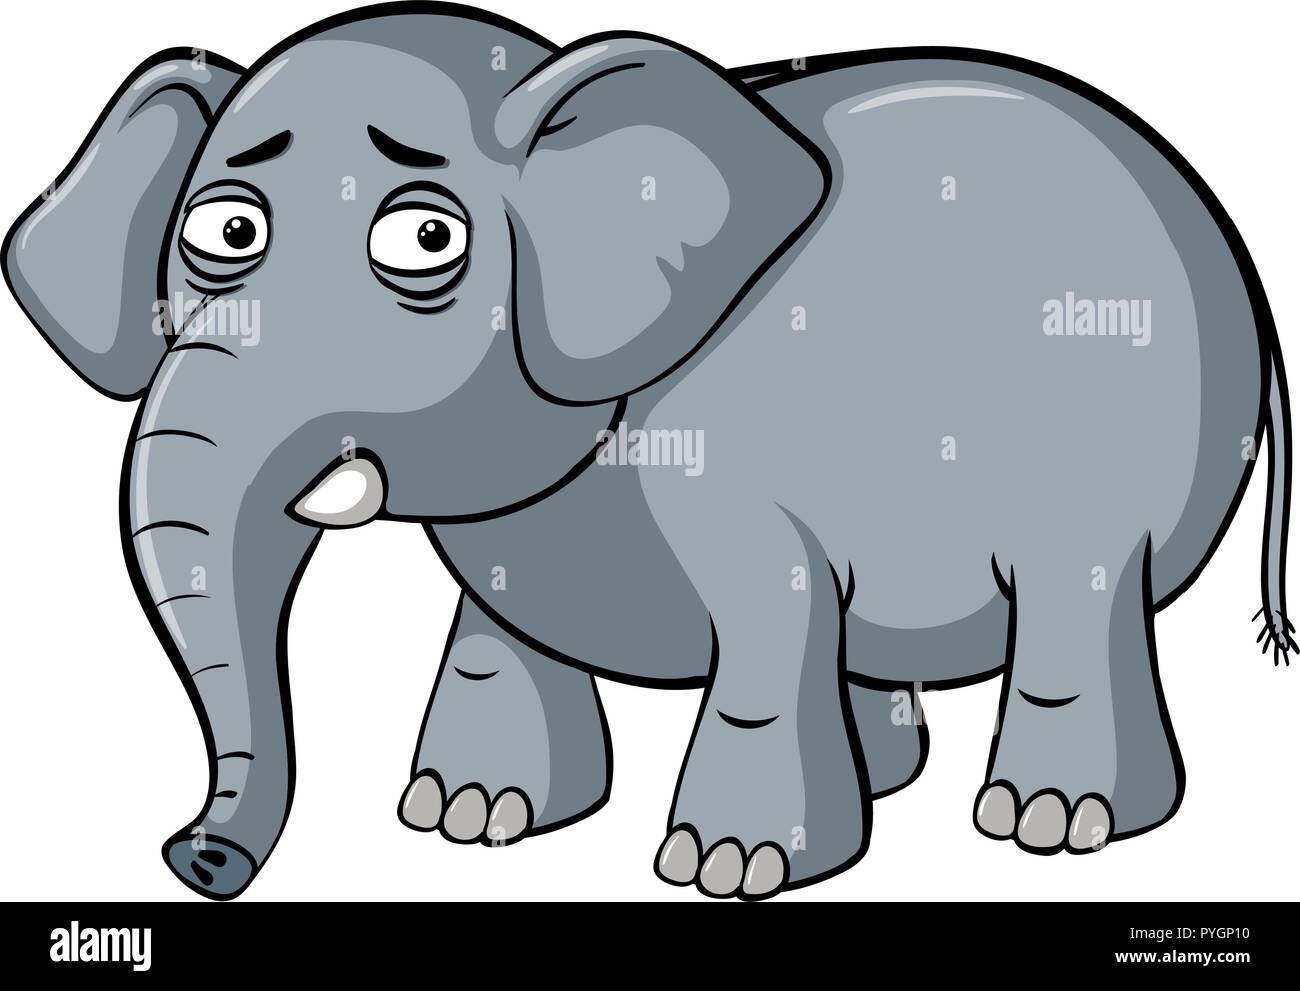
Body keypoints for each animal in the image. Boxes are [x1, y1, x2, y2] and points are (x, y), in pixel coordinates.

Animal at [4, 1, 1292, 901]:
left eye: (422, 241)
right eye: (226, 231)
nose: (192, 857)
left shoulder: (736, 472)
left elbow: (769, 612)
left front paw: (726, 867)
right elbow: (500, 625)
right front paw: (463, 817)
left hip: (1112, 456)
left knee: (1078, 599)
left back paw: (1049, 824)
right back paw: (898, 783)